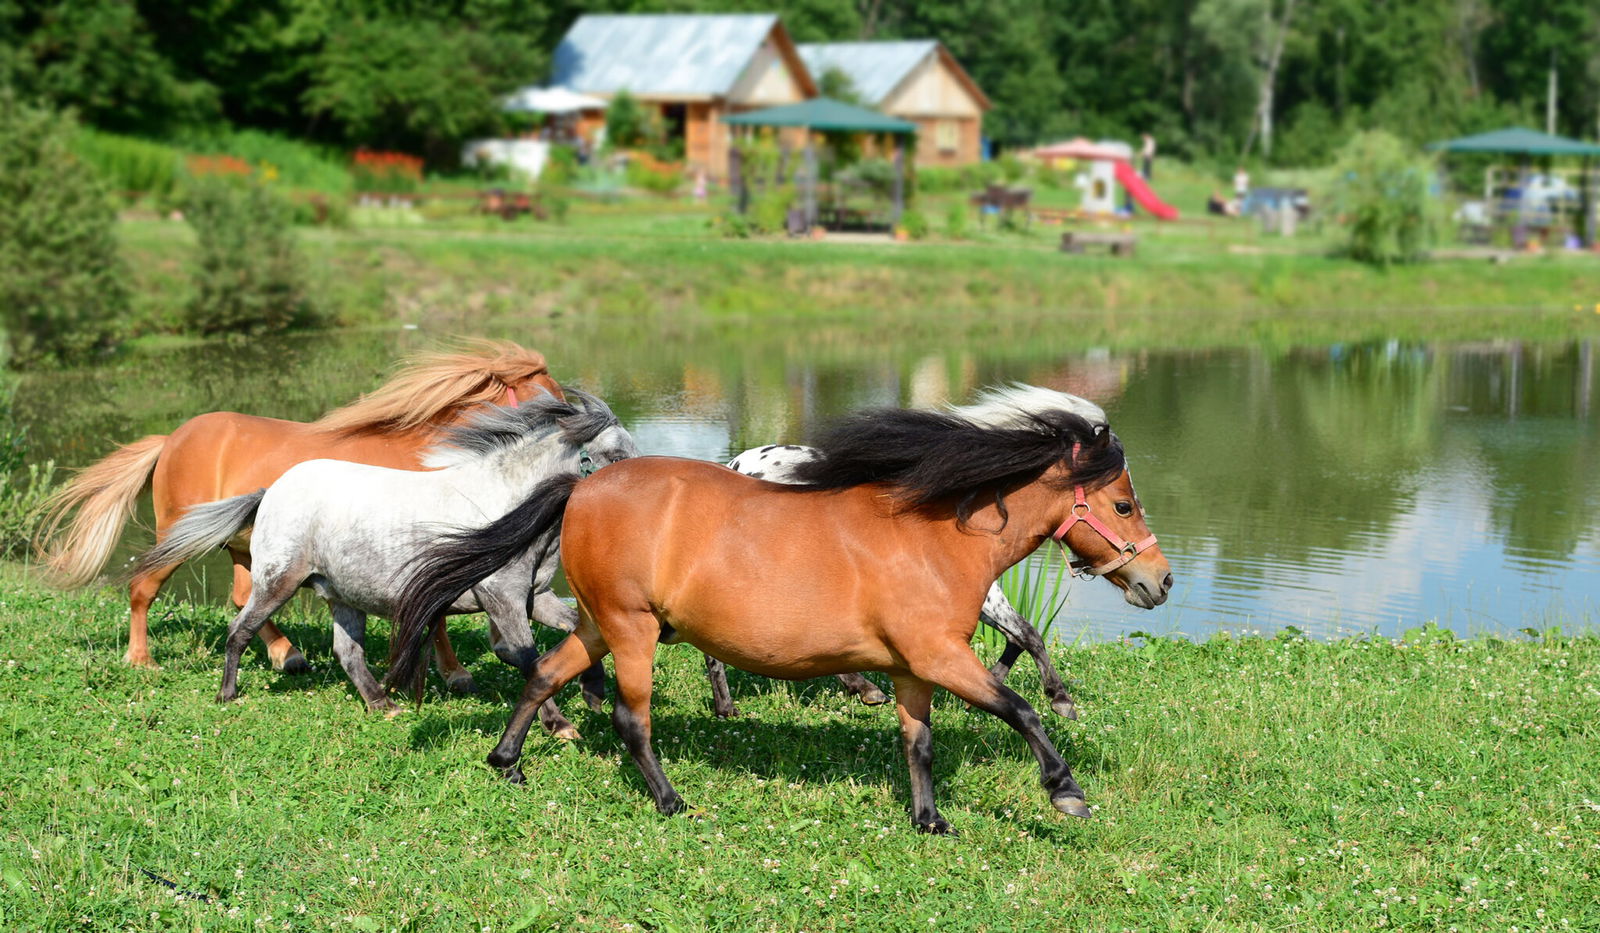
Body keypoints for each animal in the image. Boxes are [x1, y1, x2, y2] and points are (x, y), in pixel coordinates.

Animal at [36, 339, 565, 687]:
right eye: (557, 400)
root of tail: (171, 440)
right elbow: (433, 616)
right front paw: (458, 674)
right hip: (182, 539)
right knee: (144, 587)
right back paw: (142, 660)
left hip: (247, 547)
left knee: (241, 598)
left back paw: (287, 656)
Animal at [130, 390, 637, 735]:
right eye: (615, 454)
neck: (503, 504)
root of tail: (271, 490)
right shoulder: (503, 600)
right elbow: (528, 659)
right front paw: (561, 725)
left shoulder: (536, 597)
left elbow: (575, 629)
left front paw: (593, 694)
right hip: (278, 583)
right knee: (240, 629)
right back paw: (228, 694)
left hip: (341, 595)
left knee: (347, 652)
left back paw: (382, 704)